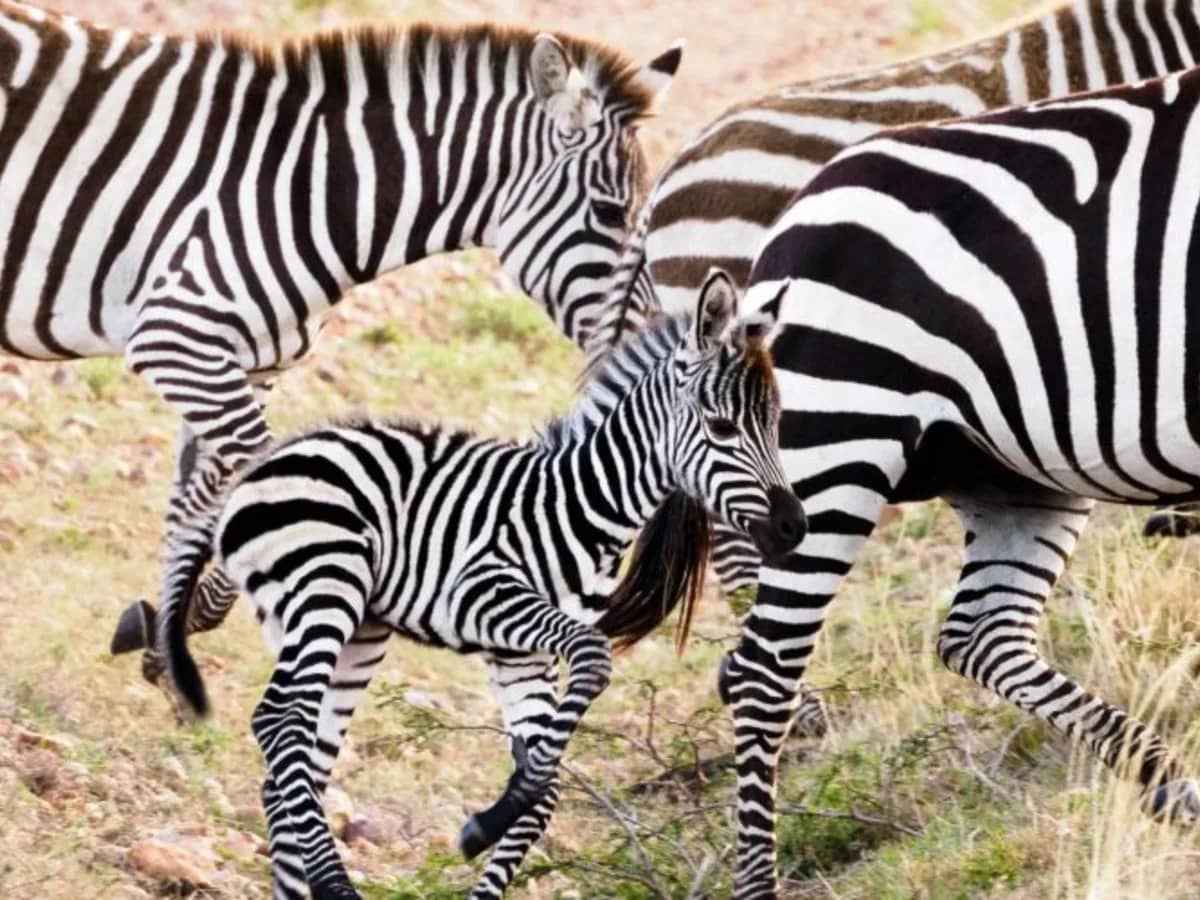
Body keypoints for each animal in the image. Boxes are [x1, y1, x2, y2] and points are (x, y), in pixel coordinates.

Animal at [0, 1, 683, 676]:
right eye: (610, 214)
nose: (649, 340)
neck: (301, 190)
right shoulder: (178, 340)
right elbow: (258, 474)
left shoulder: (247, 364)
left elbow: (195, 507)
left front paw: (169, 634)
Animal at [156, 271, 806, 899]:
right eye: (722, 426)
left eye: (777, 424)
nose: (793, 527)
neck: (582, 505)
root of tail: (260, 469)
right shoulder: (482, 597)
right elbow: (593, 659)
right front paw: (486, 822)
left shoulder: (518, 655)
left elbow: (543, 787)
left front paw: (496, 818)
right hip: (325, 588)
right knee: (276, 721)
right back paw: (337, 886)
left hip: (356, 631)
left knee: (293, 767)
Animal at [624, 62, 1200, 898]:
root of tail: (778, 240)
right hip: (833, 458)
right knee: (762, 671)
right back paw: (758, 881)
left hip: (1008, 472)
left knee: (982, 632)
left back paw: (1171, 784)